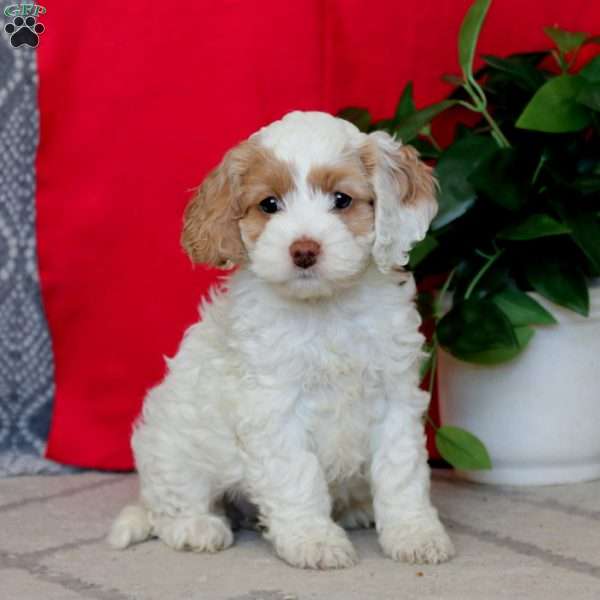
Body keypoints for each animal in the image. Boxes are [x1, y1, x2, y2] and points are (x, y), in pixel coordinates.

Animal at [109, 111, 454, 568]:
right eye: (270, 204)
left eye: (341, 200)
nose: (304, 250)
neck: (324, 310)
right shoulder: (275, 407)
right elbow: (298, 476)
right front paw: (313, 540)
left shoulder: (394, 397)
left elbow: (402, 472)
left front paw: (414, 533)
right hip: (173, 449)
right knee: (172, 504)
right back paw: (197, 527)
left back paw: (356, 507)